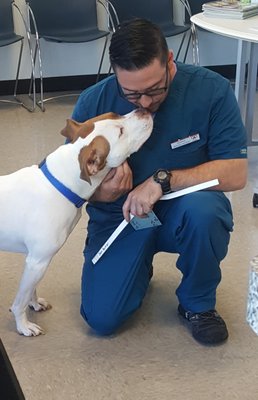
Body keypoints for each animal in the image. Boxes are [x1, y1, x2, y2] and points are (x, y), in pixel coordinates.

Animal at [0, 109, 153, 338]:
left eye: (113, 113)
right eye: (120, 131)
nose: (143, 110)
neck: (60, 184)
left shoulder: (33, 260)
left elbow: (30, 291)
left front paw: (34, 304)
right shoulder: (38, 260)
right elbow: (20, 300)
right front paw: (23, 325)